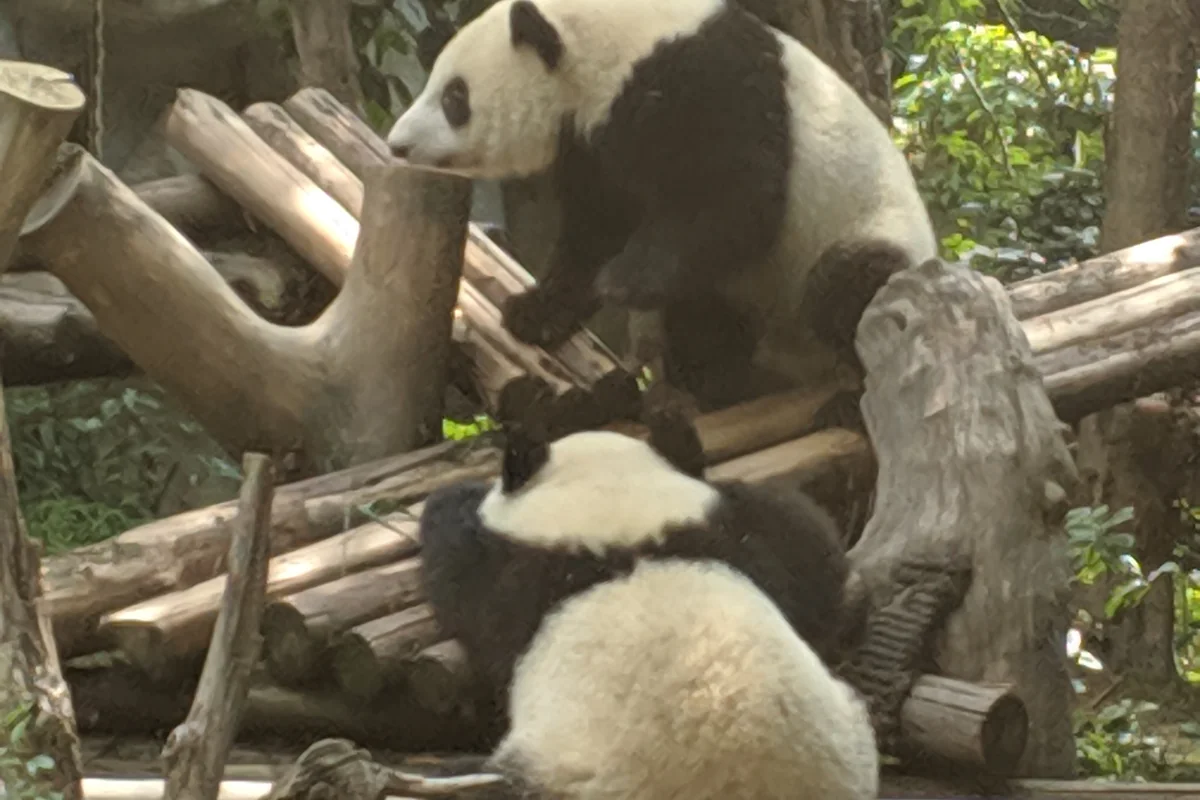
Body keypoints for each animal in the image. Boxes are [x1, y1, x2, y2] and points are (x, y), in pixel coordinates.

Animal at [385, 0, 938, 411]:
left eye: (455, 98)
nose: (398, 145)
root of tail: (799, 367)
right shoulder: (594, 141)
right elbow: (596, 227)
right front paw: (532, 312)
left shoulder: (709, 84)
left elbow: (735, 197)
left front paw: (623, 280)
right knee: (707, 315)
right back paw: (716, 380)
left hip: (868, 236)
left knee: (850, 284)